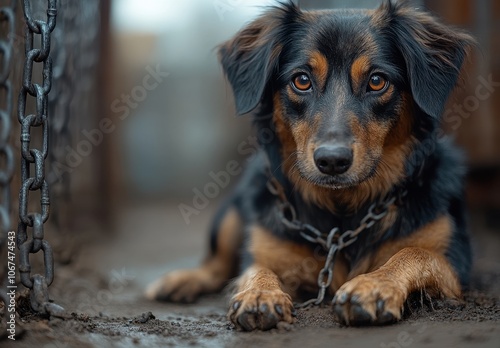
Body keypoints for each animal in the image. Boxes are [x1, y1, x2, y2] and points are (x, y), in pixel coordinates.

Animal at [146, 0, 476, 330]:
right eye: (302, 80)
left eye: (377, 81)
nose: (332, 160)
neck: (342, 213)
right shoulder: (268, 247)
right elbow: (255, 269)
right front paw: (259, 294)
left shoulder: (455, 264)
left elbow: (416, 252)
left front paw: (373, 285)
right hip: (233, 209)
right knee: (217, 265)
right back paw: (182, 280)